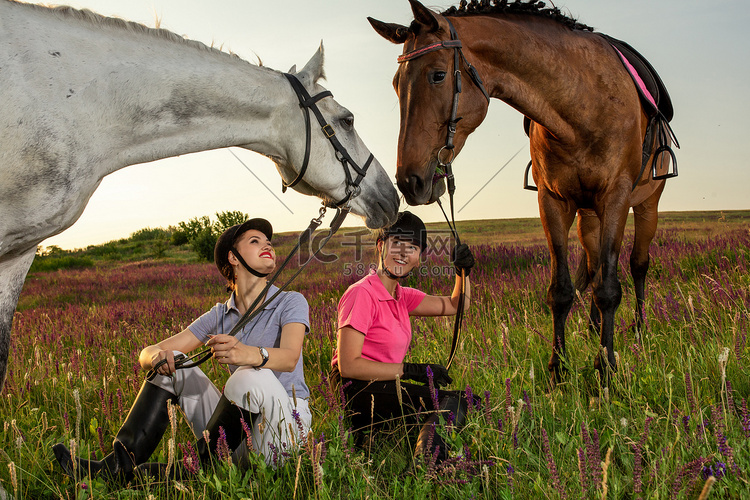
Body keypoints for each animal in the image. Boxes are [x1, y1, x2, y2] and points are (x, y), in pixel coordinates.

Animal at [368, 0, 680, 384]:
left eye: (438, 75)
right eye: (397, 84)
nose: (409, 181)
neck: (582, 103)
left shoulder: (616, 197)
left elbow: (610, 289)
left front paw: (606, 369)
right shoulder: (553, 202)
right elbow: (561, 290)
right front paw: (559, 370)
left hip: (646, 204)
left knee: (637, 264)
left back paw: (637, 329)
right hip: (589, 215)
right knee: (594, 266)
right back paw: (594, 329)